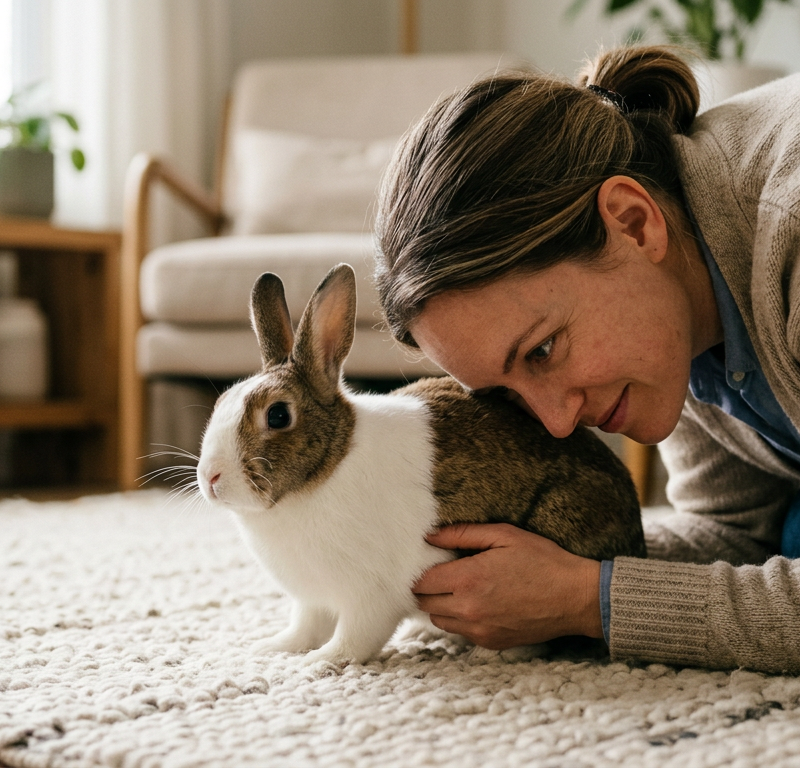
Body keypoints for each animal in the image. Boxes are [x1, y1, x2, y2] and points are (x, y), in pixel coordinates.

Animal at [196, 263, 645, 666]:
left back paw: (489, 653)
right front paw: (273, 649)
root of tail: (633, 537)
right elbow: (306, 626)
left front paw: (320, 662)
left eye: (277, 416)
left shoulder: (372, 594)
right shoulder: (313, 599)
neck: (325, 470)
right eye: (222, 402)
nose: (210, 478)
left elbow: (356, 636)